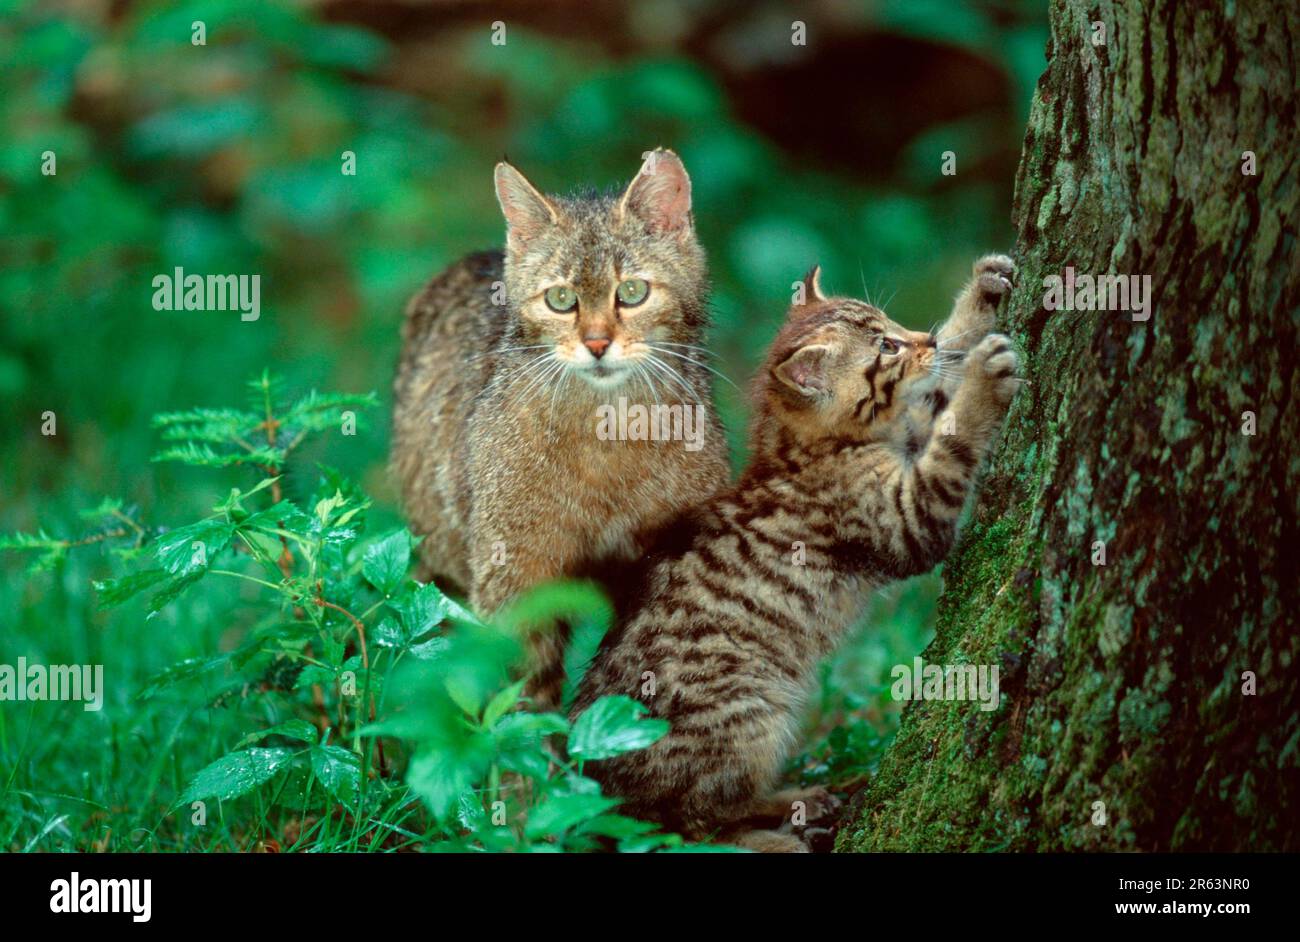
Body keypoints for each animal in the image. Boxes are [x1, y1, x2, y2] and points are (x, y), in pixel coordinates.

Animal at [390, 146, 733, 706]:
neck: (609, 430)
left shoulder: (671, 564)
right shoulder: (515, 577)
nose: (596, 344)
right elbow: (523, 699)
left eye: (632, 292)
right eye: (560, 300)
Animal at [574, 253, 1019, 847]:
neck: (799, 448)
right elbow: (952, 437)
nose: (918, 337)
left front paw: (978, 299)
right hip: (749, 713)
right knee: (693, 821)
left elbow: (940, 380)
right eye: (887, 348)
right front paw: (983, 382)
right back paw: (779, 823)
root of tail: (596, 779)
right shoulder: (905, 517)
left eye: (893, 329)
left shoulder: (910, 430)